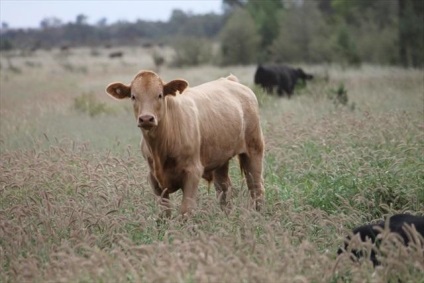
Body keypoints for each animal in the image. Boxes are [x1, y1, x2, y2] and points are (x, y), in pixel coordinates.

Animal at [105, 71, 264, 217]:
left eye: (160, 95)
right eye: (133, 96)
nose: (146, 118)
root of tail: (230, 80)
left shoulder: (193, 172)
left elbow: (185, 211)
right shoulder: (154, 178)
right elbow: (165, 213)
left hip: (254, 148)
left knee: (256, 187)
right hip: (220, 158)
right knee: (224, 190)